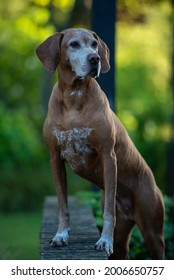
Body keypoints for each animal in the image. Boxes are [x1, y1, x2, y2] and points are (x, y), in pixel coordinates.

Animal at [36, 27, 164, 260]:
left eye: (94, 44)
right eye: (74, 44)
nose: (94, 58)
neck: (74, 97)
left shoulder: (108, 155)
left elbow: (108, 212)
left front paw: (104, 240)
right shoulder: (55, 158)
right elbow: (62, 205)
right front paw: (61, 235)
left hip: (152, 230)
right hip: (122, 240)